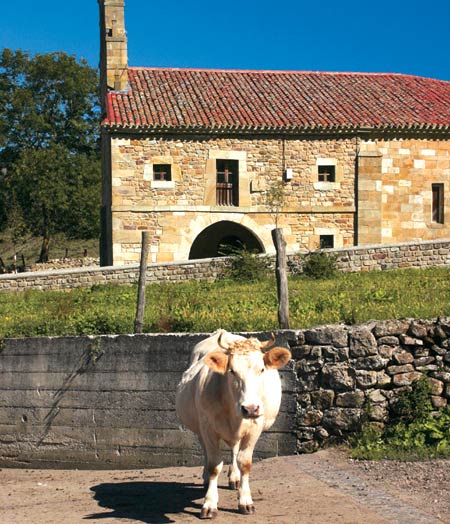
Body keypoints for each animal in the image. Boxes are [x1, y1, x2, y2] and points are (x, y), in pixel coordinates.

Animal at [176, 330, 292, 516]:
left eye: (261, 369)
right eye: (232, 371)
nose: (250, 408)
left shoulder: (254, 428)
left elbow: (244, 462)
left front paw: (245, 501)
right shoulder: (207, 428)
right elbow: (214, 465)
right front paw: (210, 503)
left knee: (235, 449)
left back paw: (234, 478)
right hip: (199, 428)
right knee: (207, 452)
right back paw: (206, 479)